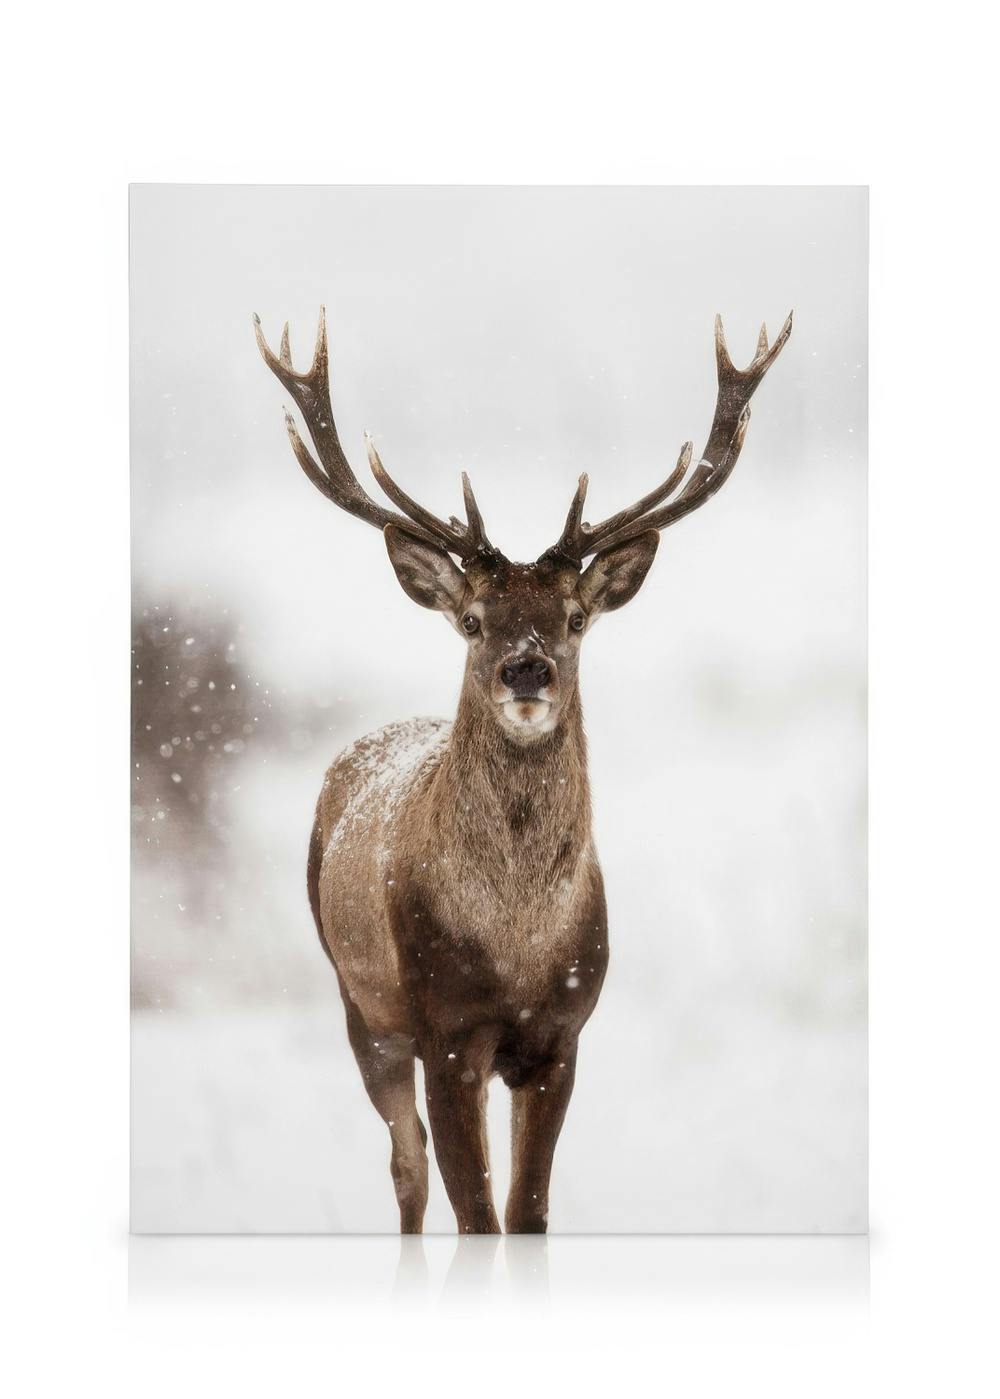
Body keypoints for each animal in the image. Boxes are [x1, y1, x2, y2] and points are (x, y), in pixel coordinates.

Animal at [253, 305, 791, 1234]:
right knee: (406, 1168)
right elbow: (478, 1215)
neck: (517, 945)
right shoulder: (446, 1028)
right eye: (473, 619)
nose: (527, 668)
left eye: (574, 617)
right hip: (360, 1002)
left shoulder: (562, 1034)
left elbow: (527, 1211)